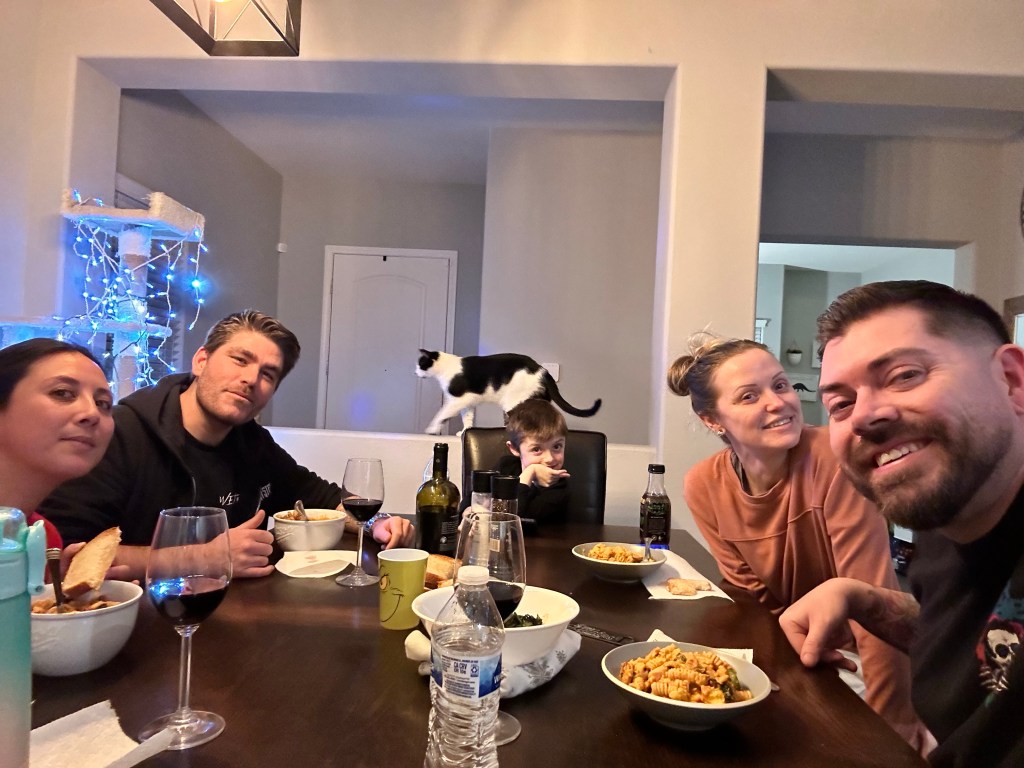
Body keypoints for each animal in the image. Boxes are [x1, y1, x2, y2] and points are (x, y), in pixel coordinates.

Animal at [415, 350, 602, 435]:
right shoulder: (468, 402)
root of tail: (542, 369)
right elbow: (467, 418)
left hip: (513, 402)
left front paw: (432, 429)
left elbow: (441, 414)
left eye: (420, 363)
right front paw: (465, 431)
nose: (415, 372)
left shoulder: (457, 400)